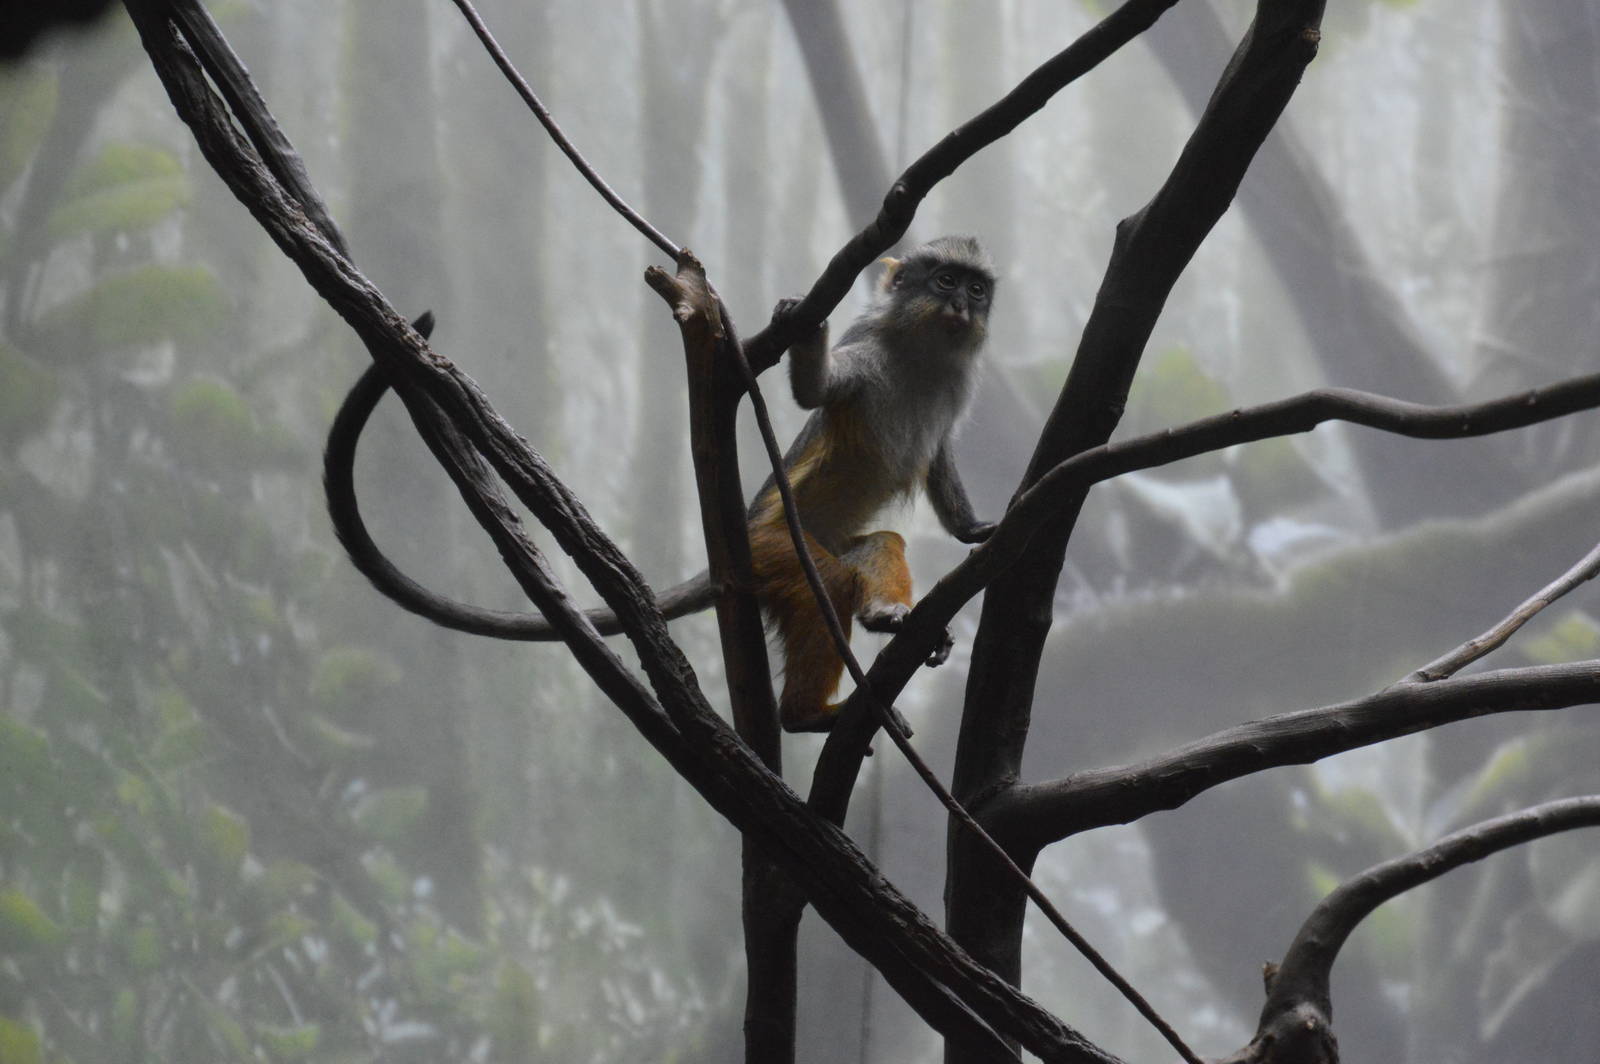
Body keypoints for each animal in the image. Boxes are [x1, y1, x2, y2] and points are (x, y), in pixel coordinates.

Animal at [322, 235, 996, 732]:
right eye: (944, 281)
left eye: (977, 287)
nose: (963, 304)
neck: (921, 354)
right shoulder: (867, 359)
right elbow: (815, 392)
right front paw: (799, 321)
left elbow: (938, 458)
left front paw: (974, 530)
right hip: (775, 551)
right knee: (825, 584)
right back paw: (806, 715)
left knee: (879, 546)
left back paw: (885, 616)